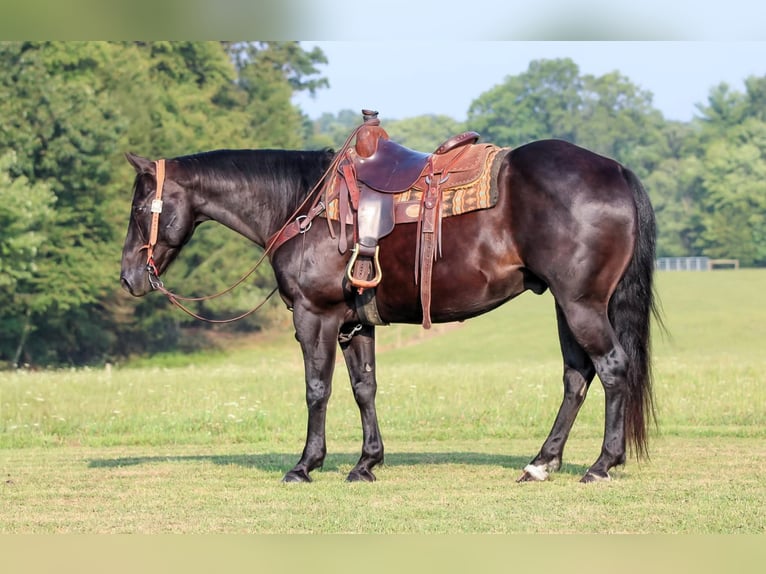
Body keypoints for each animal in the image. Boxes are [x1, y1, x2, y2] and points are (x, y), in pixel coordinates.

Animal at [119, 135, 659, 484]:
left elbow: (317, 390)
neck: (303, 205)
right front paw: (366, 464)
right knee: (576, 377)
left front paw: (305, 465)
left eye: (140, 207)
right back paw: (542, 462)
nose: (129, 276)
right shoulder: (355, 324)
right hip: (567, 306)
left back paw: (601, 465)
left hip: (581, 304)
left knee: (612, 369)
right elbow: (365, 389)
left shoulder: (314, 317)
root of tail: (614, 170)